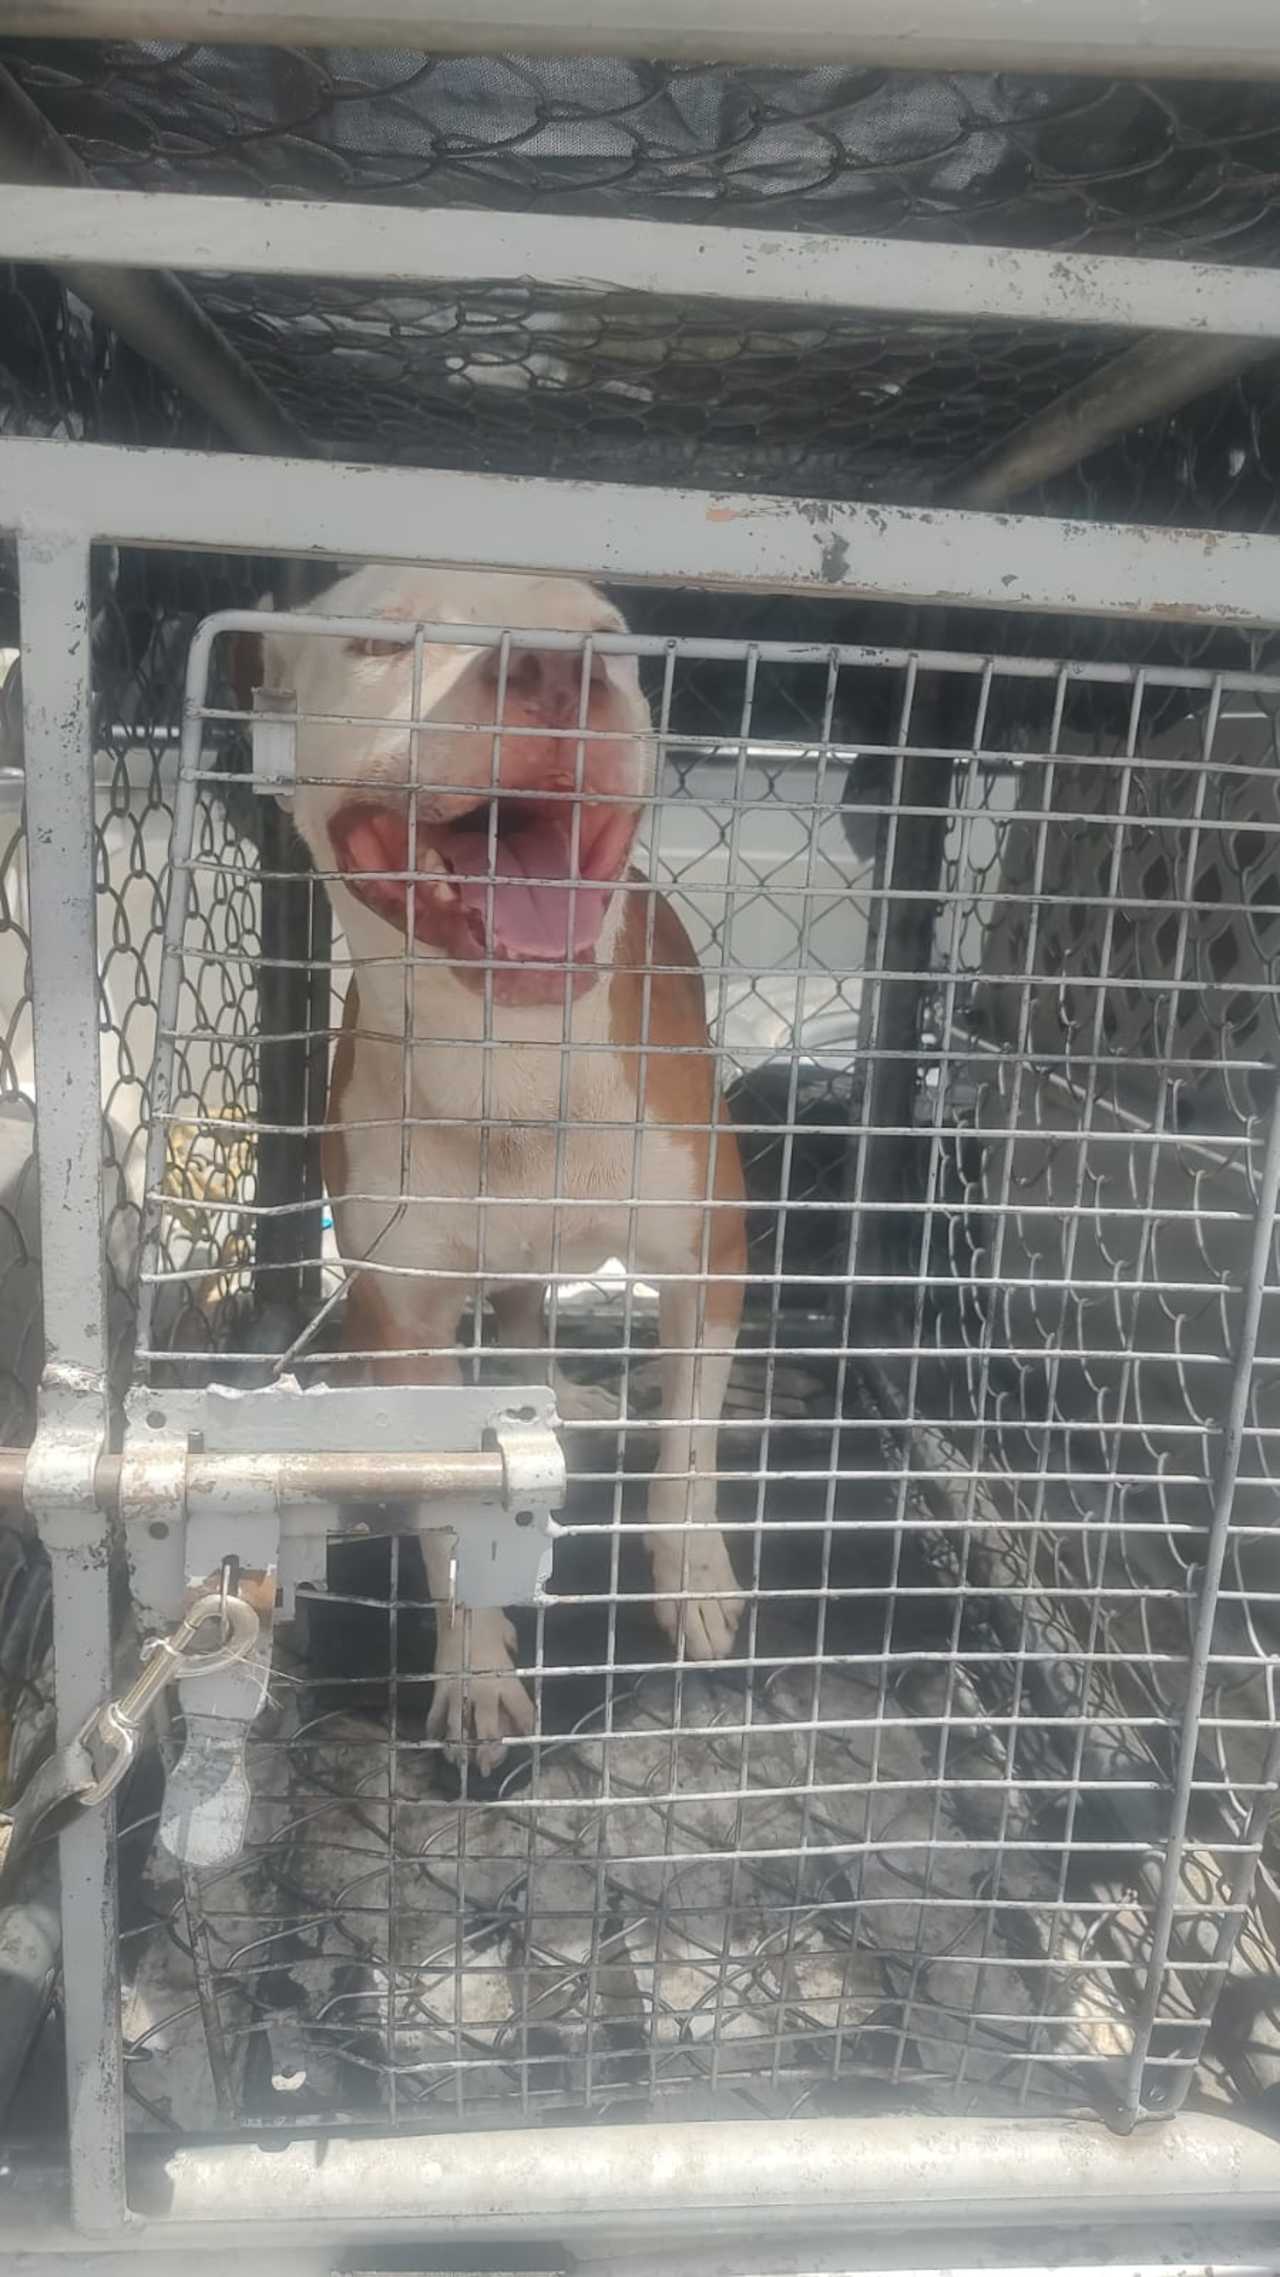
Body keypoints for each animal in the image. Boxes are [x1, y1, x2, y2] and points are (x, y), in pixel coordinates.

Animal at [247, 565, 746, 1766]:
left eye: (610, 637)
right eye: (380, 641)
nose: (556, 668)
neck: (510, 1057)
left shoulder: (711, 1253)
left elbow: (688, 1449)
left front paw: (692, 1573)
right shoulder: (401, 1315)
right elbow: (447, 1518)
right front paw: (474, 1672)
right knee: (515, 1330)